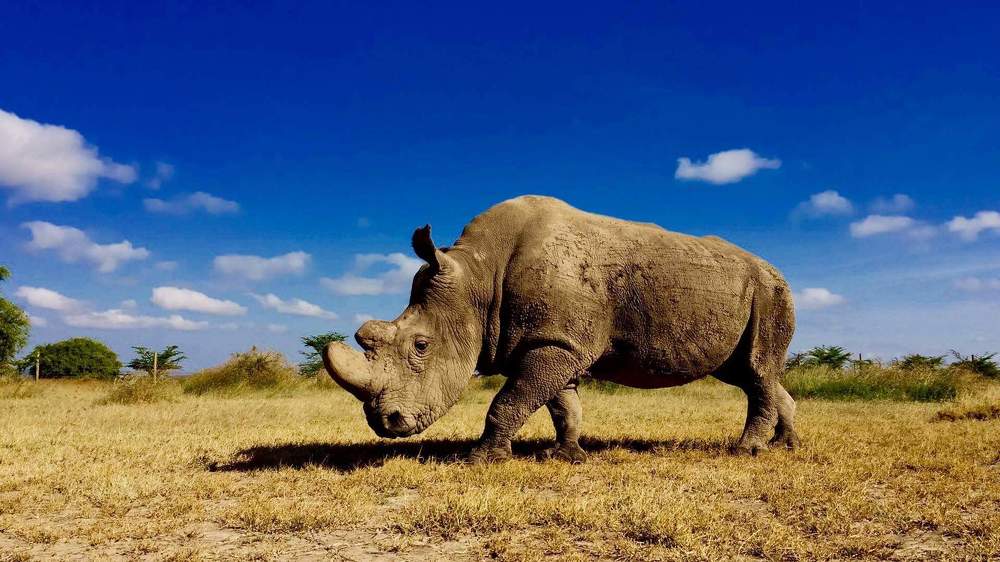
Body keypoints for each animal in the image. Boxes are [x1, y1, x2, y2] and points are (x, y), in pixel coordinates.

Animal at [324, 195, 798, 463]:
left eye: (421, 345)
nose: (385, 423)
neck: (479, 275)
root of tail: (775, 268)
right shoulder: (555, 340)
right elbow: (561, 404)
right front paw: (566, 455)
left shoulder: (556, 342)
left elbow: (509, 400)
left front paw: (480, 459)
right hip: (750, 291)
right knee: (748, 373)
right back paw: (785, 446)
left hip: (770, 291)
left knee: (757, 371)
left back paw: (745, 452)